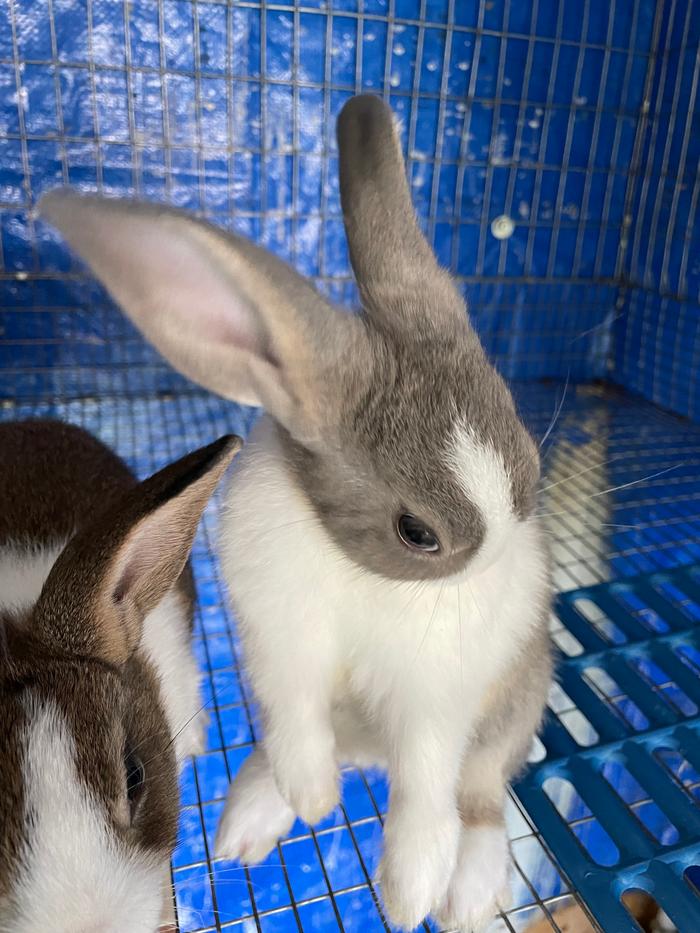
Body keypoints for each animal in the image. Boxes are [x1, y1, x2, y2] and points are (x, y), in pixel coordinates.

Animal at [39, 94, 552, 932]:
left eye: (527, 454)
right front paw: (313, 802)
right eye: (418, 533)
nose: (498, 578)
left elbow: (425, 784)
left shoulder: (436, 700)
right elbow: (301, 727)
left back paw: (468, 894)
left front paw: (408, 894)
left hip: (511, 710)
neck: (361, 574)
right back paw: (248, 823)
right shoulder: (281, 654)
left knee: (477, 794)